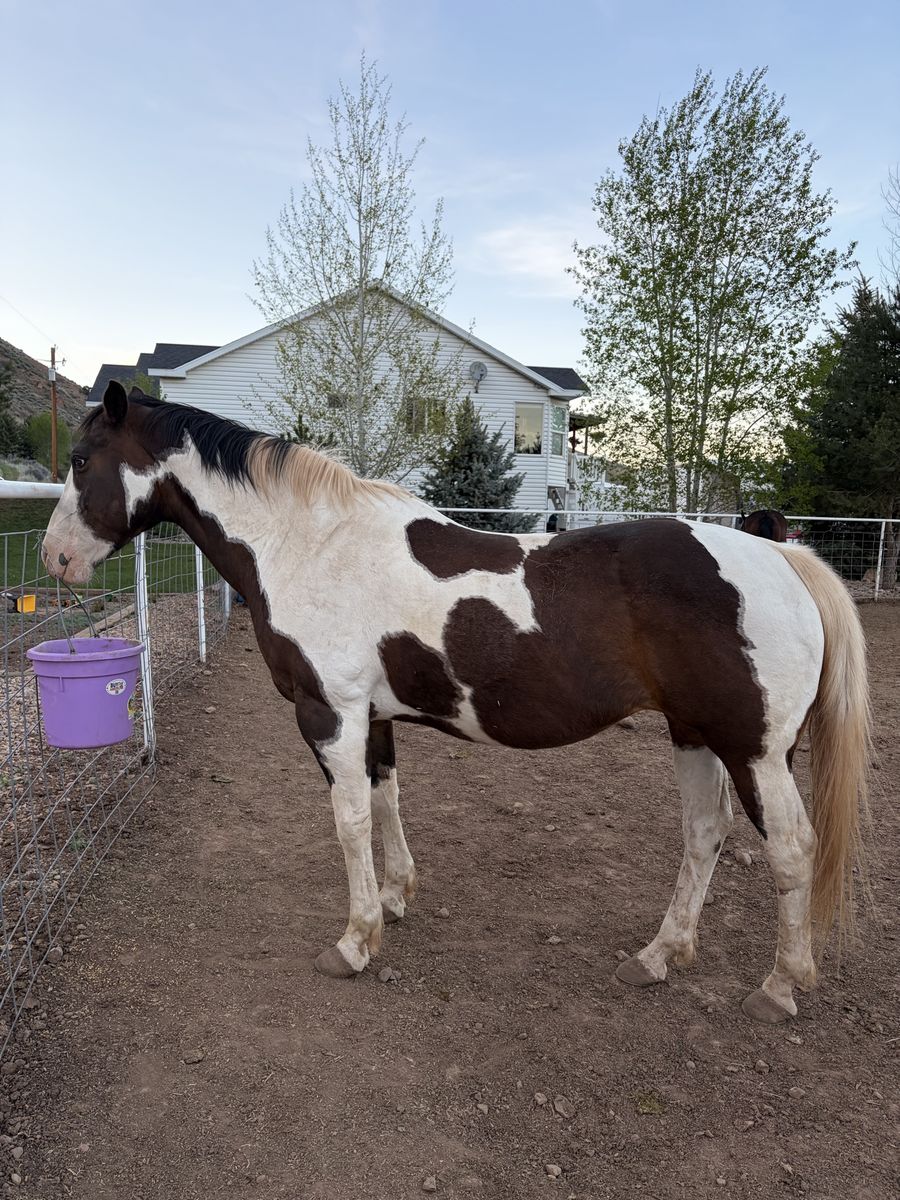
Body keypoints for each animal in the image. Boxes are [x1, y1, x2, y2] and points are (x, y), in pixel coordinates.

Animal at [41, 382, 870, 1024]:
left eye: (82, 462)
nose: (56, 560)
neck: (309, 546)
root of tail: (782, 556)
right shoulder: (372, 717)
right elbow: (385, 801)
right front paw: (395, 900)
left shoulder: (329, 714)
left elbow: (348, 821)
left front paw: (355, 941)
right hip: (695, 734)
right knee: (704, 835)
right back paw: (659, 956)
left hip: (753, 749)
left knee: (791, 848)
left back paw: (779, 987)